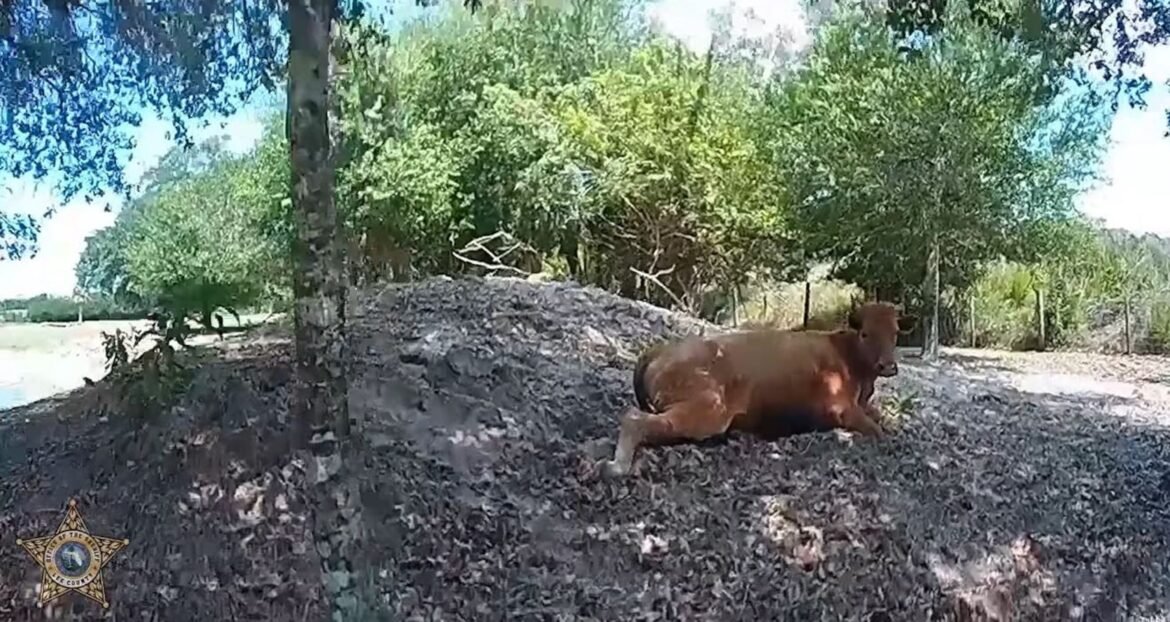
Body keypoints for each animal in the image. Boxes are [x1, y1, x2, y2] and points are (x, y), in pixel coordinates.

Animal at [604, 300, 914, 477]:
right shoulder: (842, 409)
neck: (846, 352)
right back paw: (616, 468)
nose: (888, 366)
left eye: (895, 333)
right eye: (866, 333)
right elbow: (877, 430)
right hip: (709, 410)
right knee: (635, 419)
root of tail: (659, 350)